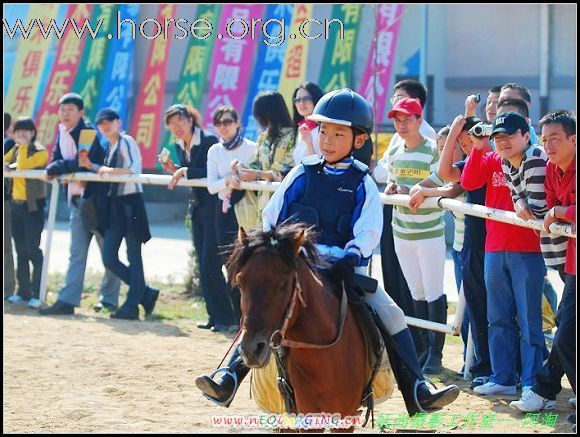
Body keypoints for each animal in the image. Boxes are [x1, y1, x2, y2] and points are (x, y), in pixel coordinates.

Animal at [227, 223, 368, 430]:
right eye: (240, 283)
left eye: (284, 284)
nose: (251, 350)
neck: (326, 360)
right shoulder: (307, 417)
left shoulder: (346, 418)